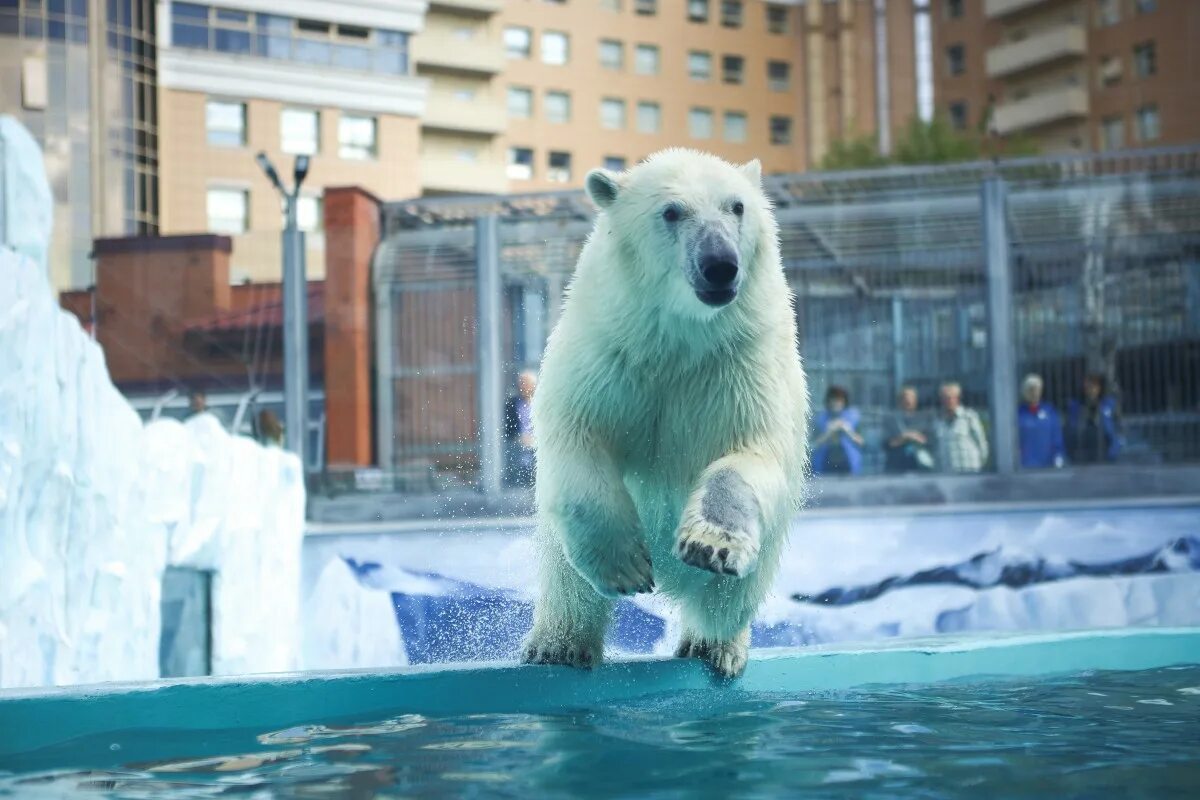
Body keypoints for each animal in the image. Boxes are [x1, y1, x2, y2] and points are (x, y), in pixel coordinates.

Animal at [523, 148, 811, 676]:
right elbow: (579, 434)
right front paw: (627, 567)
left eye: (737, 206)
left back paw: (712, 645)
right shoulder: (608, 351)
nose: (720, 266)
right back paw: (559, 645)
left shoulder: (741, 363)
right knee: (567, 582)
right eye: (672, 212)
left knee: (728, 601)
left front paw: (711, 544)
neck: (679, 341)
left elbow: (751, 453)